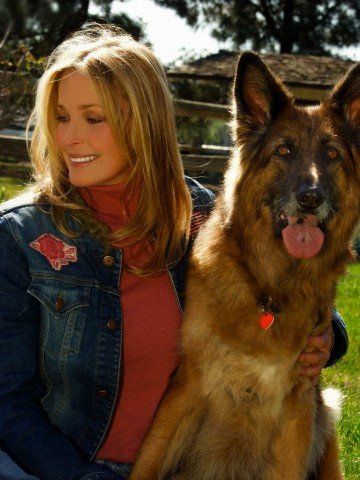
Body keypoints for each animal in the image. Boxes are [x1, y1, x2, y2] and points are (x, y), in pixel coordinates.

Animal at [129, 52, 360, 480]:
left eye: (332, 154)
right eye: (284, 151)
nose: (310, 198)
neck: (269, 288)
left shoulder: (296, 412)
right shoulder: (187, 388)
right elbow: (148, 461)